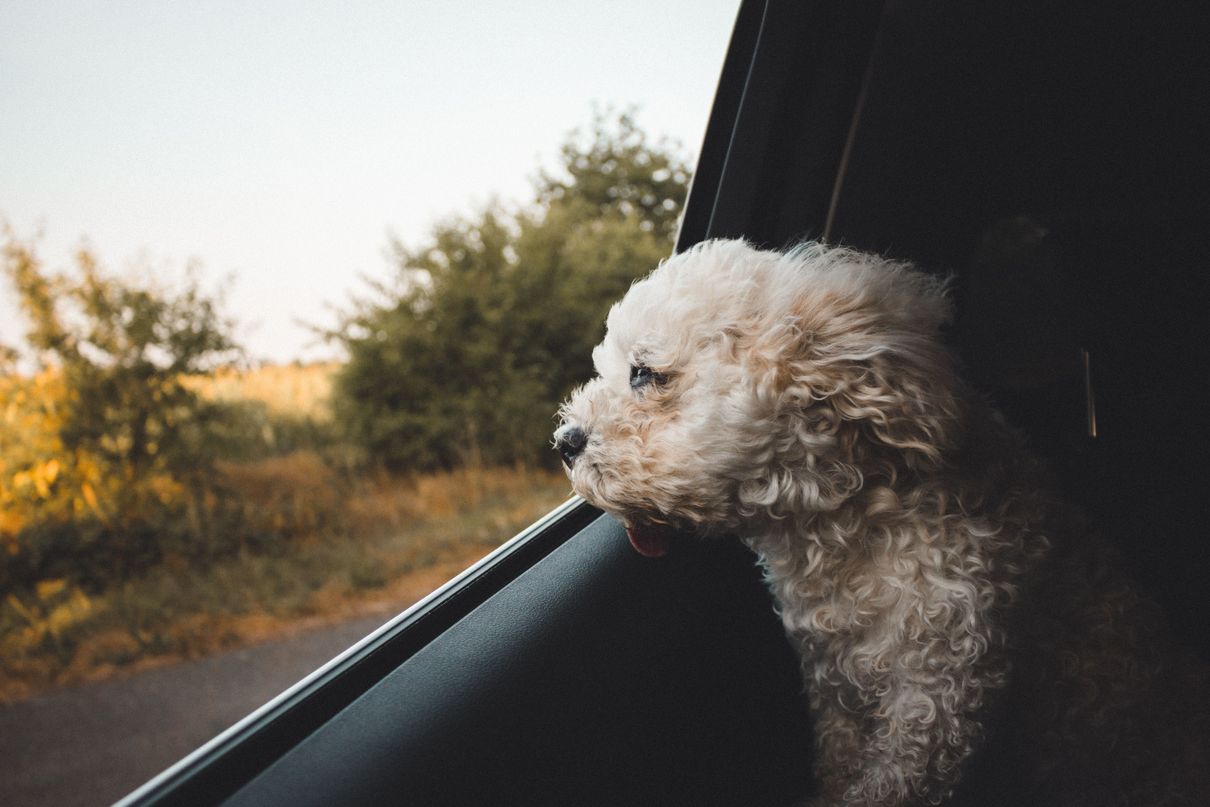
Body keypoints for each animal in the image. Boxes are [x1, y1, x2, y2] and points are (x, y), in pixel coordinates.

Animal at [554, 241, 1205, 807]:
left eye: (645, 373)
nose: (564, 441)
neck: (853, 521)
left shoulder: (936, 705)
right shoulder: (832, 689)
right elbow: (839, 763)